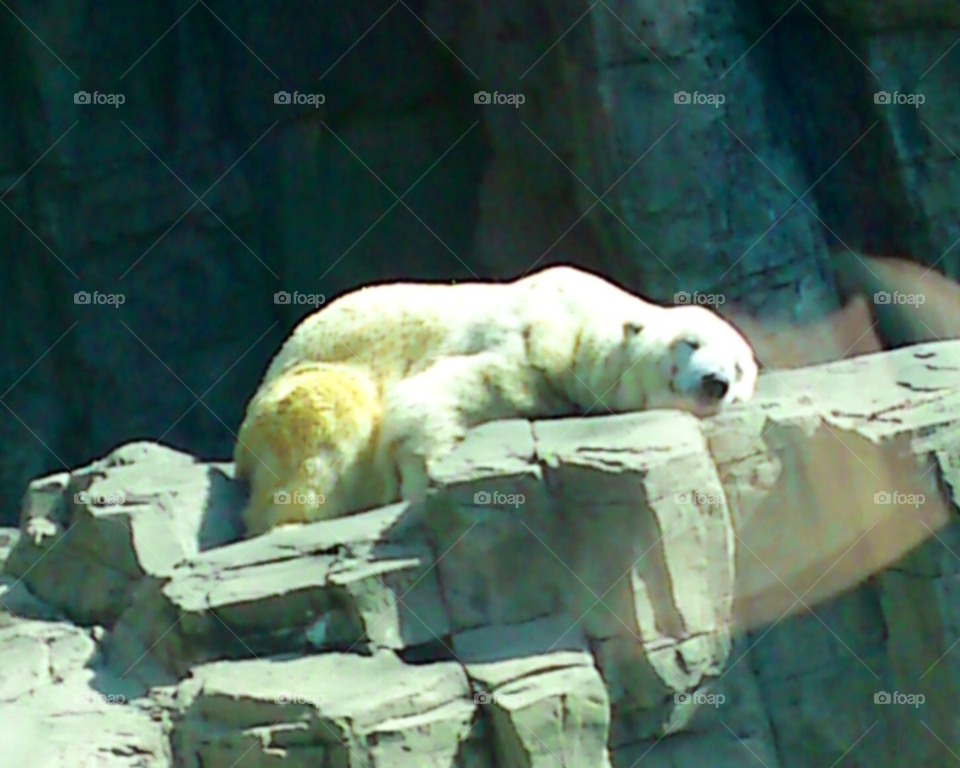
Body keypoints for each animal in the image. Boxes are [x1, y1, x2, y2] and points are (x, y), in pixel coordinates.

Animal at [234, 265, 758, 535]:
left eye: (739, 370)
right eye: (689, 343)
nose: (716, 381)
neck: (583, 318)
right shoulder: (529, 339)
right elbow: (436, 394)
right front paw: (417, 483)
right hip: (302, 389)